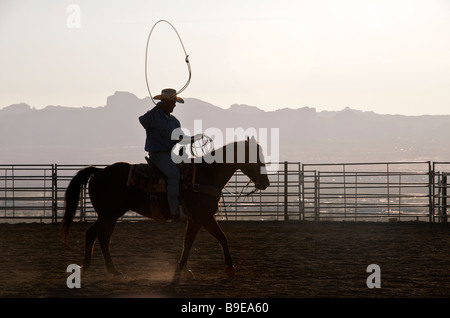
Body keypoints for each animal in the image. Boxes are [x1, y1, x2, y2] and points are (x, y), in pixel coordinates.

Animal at [60, 138, 270, 278]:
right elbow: (221, 237)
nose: (266, 183)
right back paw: (111, 269)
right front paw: (229, 267)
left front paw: (183, 268)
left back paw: (90, 266)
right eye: (254, 156)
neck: (206, 175)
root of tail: (99, 172)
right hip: (110, 215)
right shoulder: (204, 216)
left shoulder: (195, 219)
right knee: (102, 237)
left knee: (92, 234)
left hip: (107, 214)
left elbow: (188, 242)